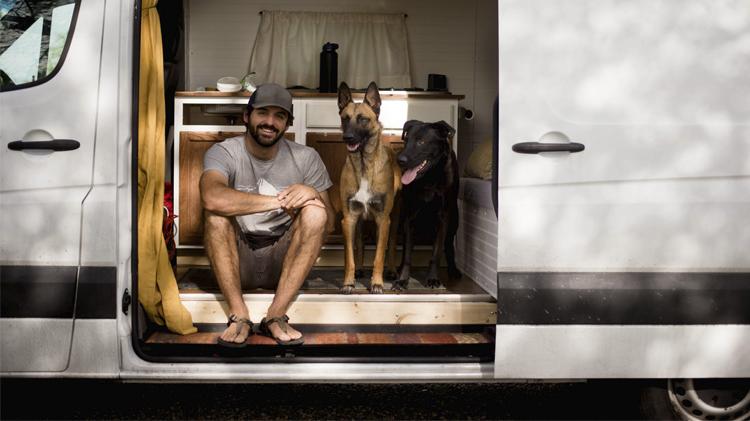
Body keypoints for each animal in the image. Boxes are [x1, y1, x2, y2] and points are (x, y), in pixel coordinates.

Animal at [338, 81, 402, 292]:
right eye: (345, 119)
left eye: (363, 119)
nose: (348, 137)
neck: (365, 165)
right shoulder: (348, 219)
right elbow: (349, 256)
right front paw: (349, 282)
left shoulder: (383, 220)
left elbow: (379, 256)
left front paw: (377, 283)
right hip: (359, 221)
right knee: (359, 242)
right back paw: (359, 269)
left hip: (394, 218)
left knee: (391, 244)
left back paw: (391, 270)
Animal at [394, 119, 464, 288]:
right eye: (406, 140)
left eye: (421, 141)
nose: (400, 160)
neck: (428, 178)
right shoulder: (409, 217)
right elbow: (407, 254)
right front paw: (402, 279)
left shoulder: (443, 218)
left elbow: (436, 253)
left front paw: (432, 278)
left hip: (454, 220)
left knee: (448, 246)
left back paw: (453, 270)